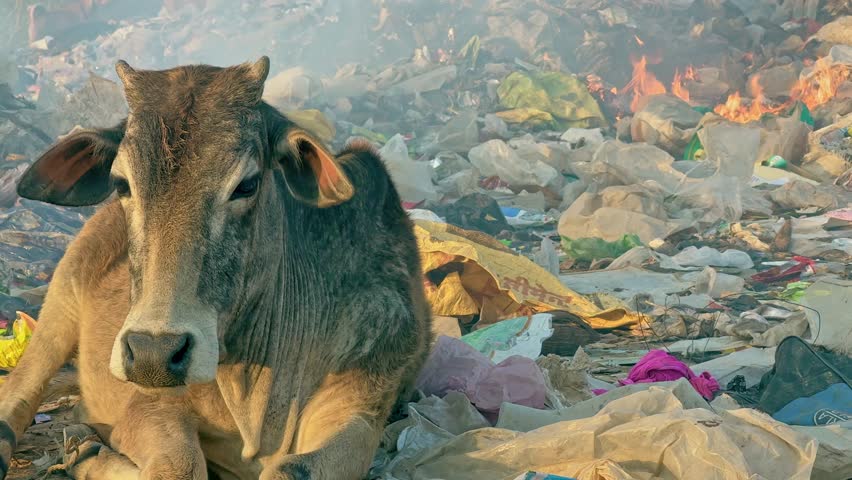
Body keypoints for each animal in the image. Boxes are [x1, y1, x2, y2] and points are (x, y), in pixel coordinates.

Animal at [0, 56, 432, 480]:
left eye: (247, 184)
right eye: (122, 184)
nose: (154, 353)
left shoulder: (361, 402)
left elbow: (292, 469)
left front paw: (87, 450)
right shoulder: (149, 402)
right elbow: (179, 467)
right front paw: (90, 454)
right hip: (62, 301)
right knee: (18, 393)